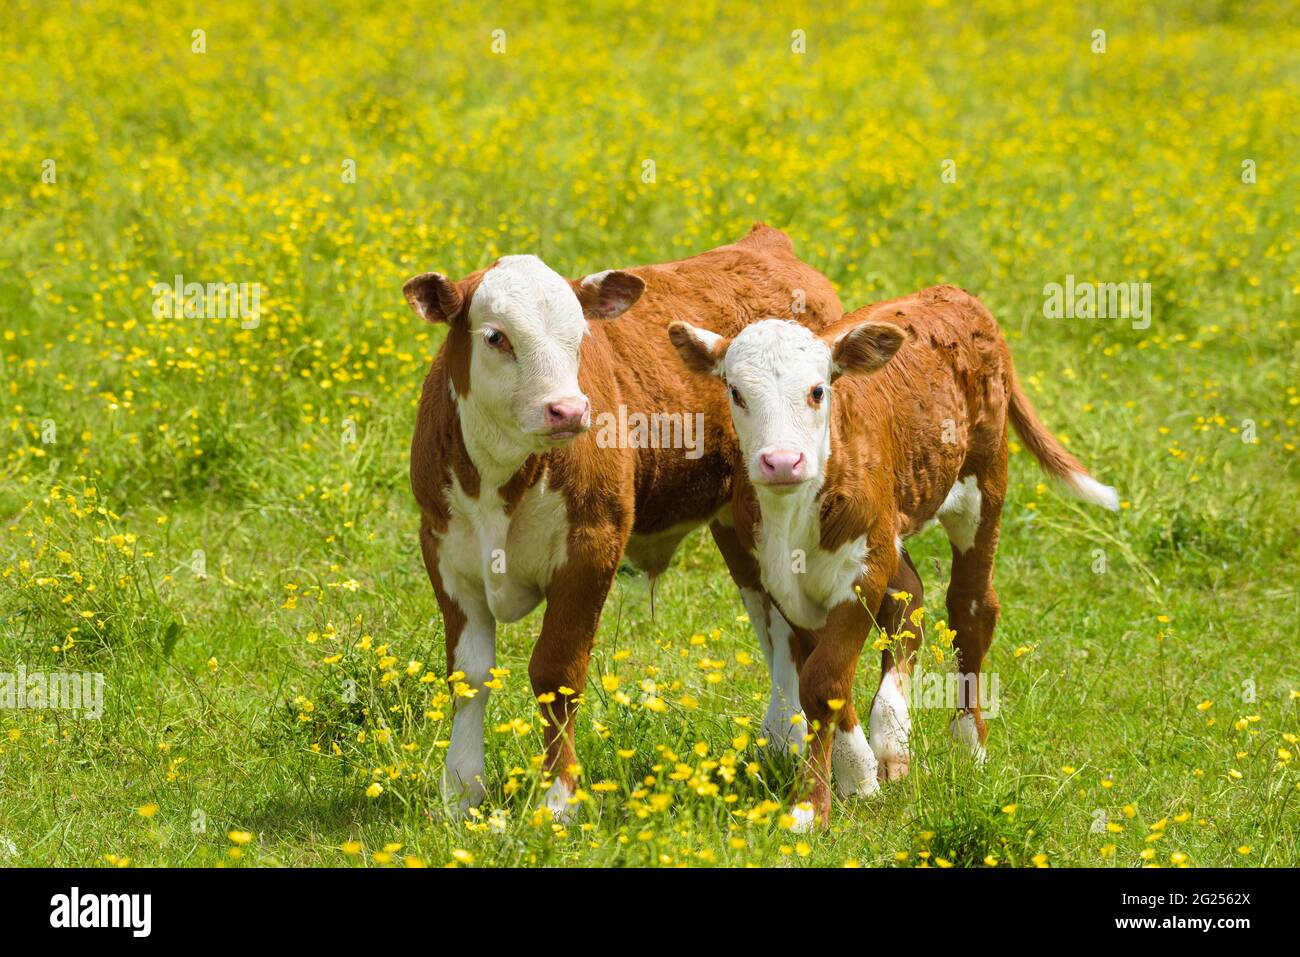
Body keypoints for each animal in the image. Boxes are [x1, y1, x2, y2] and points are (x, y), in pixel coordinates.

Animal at [410, 223, 847, 816]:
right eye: (496, 337)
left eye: (579, 336)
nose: (569, 410)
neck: (499, 479)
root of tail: (764, 244)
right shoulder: (443, 550)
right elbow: (469, 674)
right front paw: (460, 792)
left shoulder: (592, 545)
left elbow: (556, 673)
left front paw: (559, 799)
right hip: (742, 523)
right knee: (774, 624)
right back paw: (781, 740)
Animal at [670, 282, 1118, 821]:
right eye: (736, 392)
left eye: (817, 391)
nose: (781, 461)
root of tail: (953, 293)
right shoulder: (778, 576)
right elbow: (823, 678)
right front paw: (859, 774)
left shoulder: (863, 566)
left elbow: (823, 680)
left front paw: (809, 807)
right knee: (910, 597)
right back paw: (890, 740)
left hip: (983, 486)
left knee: (970, 607)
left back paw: (969, 745)